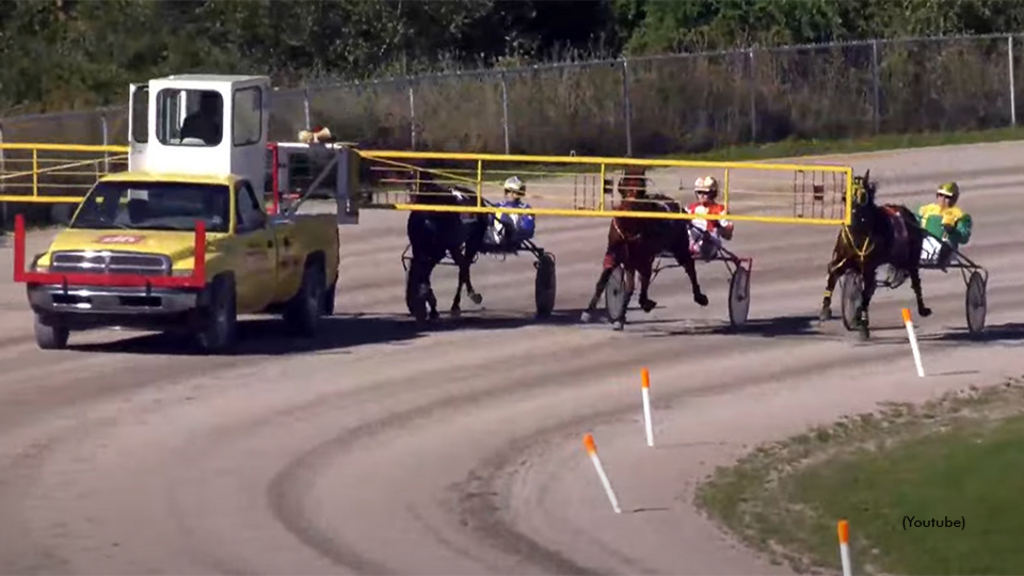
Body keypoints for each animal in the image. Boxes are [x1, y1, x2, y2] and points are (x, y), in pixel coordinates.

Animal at [401, 167, 489, 323]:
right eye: (409, 301)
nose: (418, 314)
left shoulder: (437, 251)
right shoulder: (423, 249)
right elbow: (426, 277)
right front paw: (433, 308)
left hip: (473, 239)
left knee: (464, 268)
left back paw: (461, 302)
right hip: (454, 245)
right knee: (462, 265)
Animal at [581, 165, 708, 327]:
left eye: (642, 187)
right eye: (623, 184)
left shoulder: (642, 257)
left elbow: (635, 284)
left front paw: (624, 314)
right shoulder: (617, 255)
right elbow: (604, 280)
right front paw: (589, 312)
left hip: (679, 246)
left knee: (689, 266)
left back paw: (699, 296)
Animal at [819, 168, 933, 338]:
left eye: (862, 195)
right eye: (845, 195)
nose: (851, 216)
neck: (858, 232)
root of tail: (908, 214)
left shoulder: (868, 266)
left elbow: (865, 294)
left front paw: (863, 325)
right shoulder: (844, 259)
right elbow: (833, 273)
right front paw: (826, 310)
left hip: (909, 259)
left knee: (915, 282)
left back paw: (922, 309)